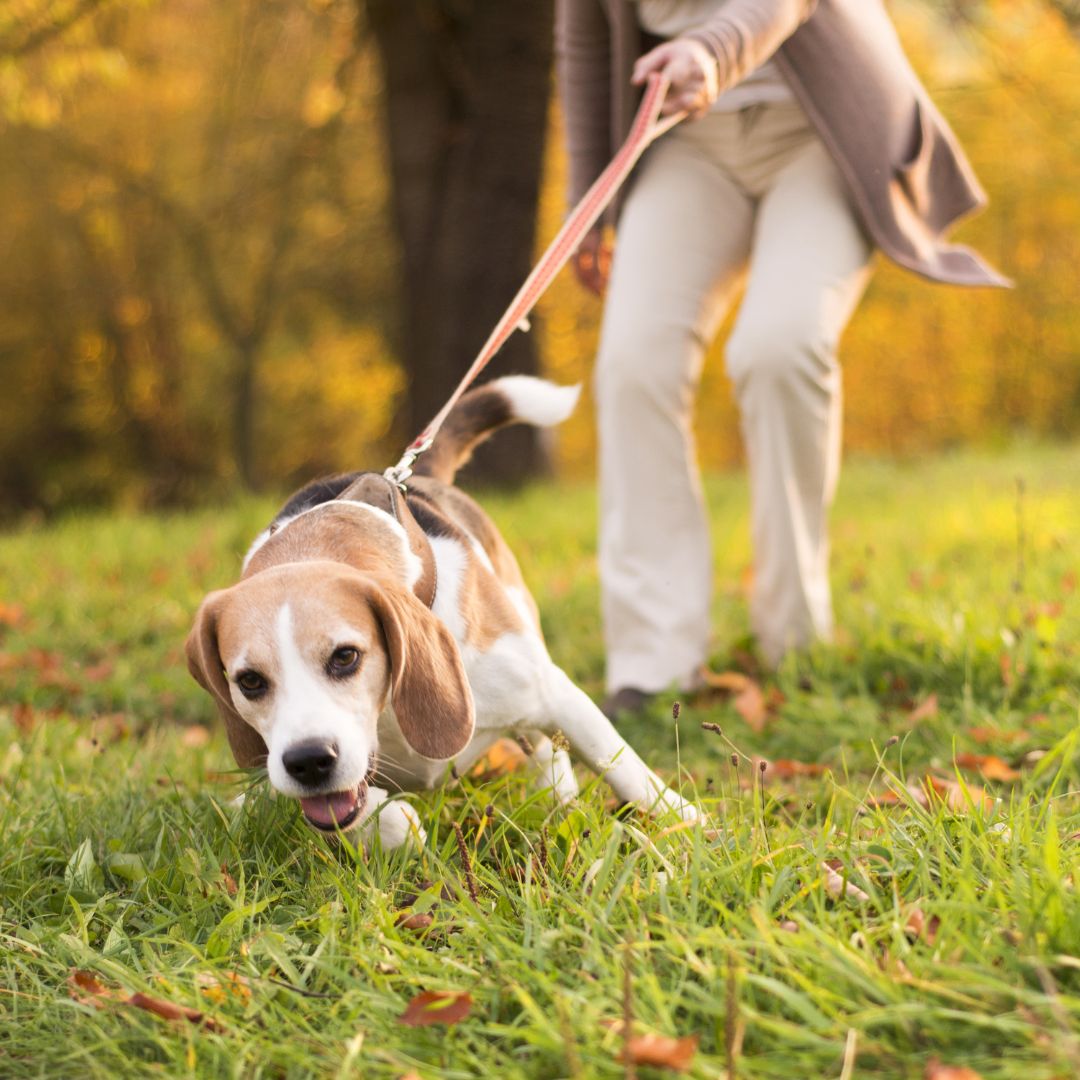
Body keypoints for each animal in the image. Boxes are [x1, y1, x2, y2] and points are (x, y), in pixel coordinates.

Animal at [187, 375, 699, 846]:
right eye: (249, 682)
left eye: (346, 657)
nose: (309, 761)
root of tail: (417, 474)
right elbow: (363, 814)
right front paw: (394, 823)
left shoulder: (553, 693)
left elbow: (622, 765)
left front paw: (688, 823)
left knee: (545, 748)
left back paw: (562, 797)